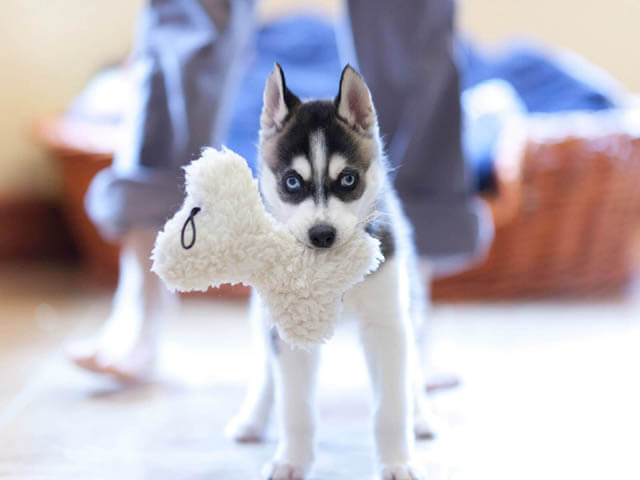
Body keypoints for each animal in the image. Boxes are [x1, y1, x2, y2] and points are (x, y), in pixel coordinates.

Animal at [224, 63, 436, 480]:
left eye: (348, 179)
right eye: (292, 182)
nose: (322, 234)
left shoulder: (386, 325)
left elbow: (391, 405)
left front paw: (396, 462)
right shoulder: (288, 334)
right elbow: (295, 407)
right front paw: (291, 461)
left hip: (410, 304)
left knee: (414, 366)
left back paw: (420, 415)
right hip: (263, 315)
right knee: (266, 370)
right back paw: (253, 418)